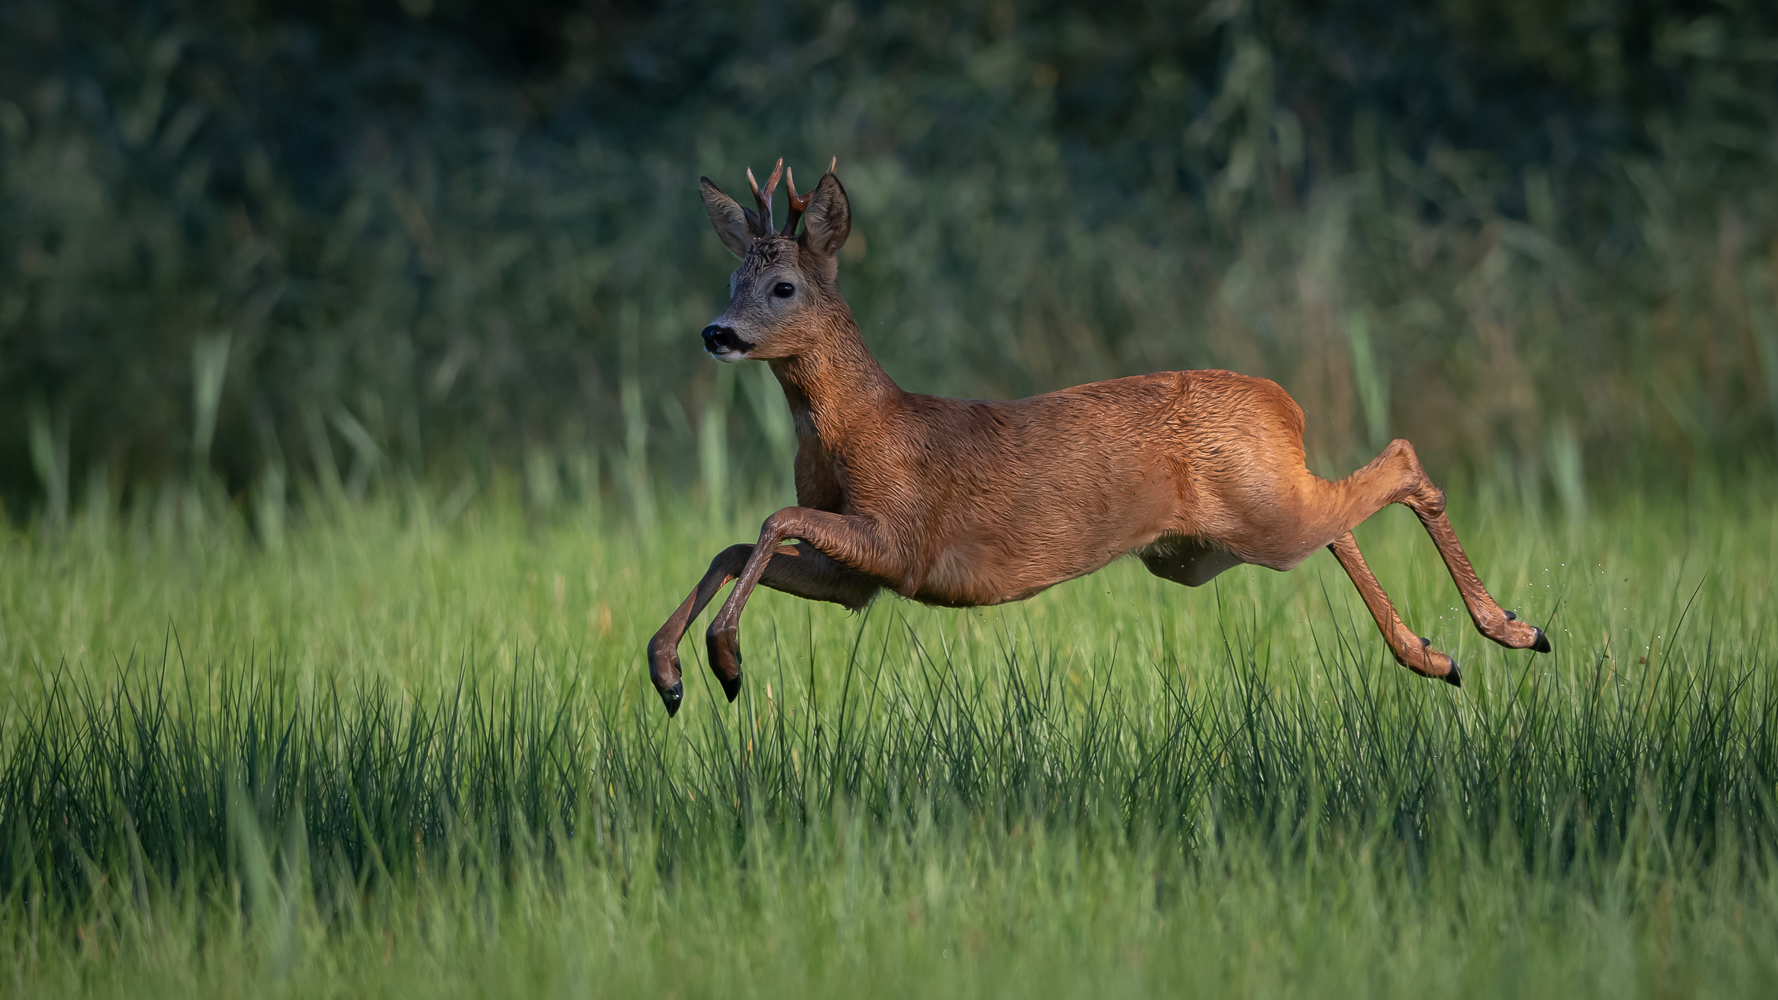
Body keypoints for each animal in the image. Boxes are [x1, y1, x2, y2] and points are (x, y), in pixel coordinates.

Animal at [647, 155, 1550, 711]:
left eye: (784, 287)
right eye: (731, 278)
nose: (716, 332)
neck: (857, 429)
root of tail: (1282, 402)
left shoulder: (901, 532)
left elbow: (771, 519)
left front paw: (724, 661)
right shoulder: (857, 579)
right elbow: (737, 542)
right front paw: (668, 671)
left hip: (1256, 519)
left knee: (1397, 461)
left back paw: (1512, 628)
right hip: (1213, 538)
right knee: (1342, 517)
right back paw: (1437, 653)